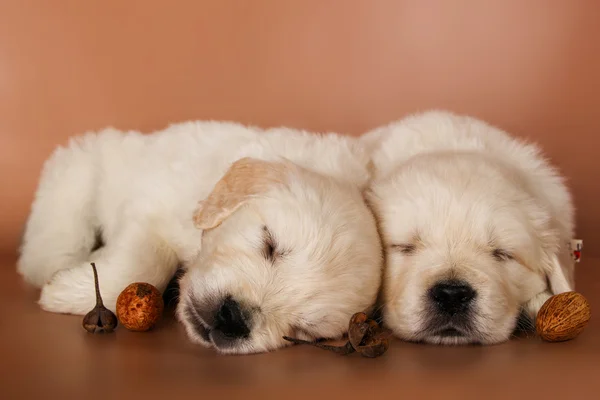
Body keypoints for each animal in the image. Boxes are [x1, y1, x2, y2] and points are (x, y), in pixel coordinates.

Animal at [21, 122, 384, 354]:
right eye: (270, 245)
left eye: (304, 331)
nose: (234, 317)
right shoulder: (153, 205)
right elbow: (145, 263)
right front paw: (63, 292)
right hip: (80, 170)